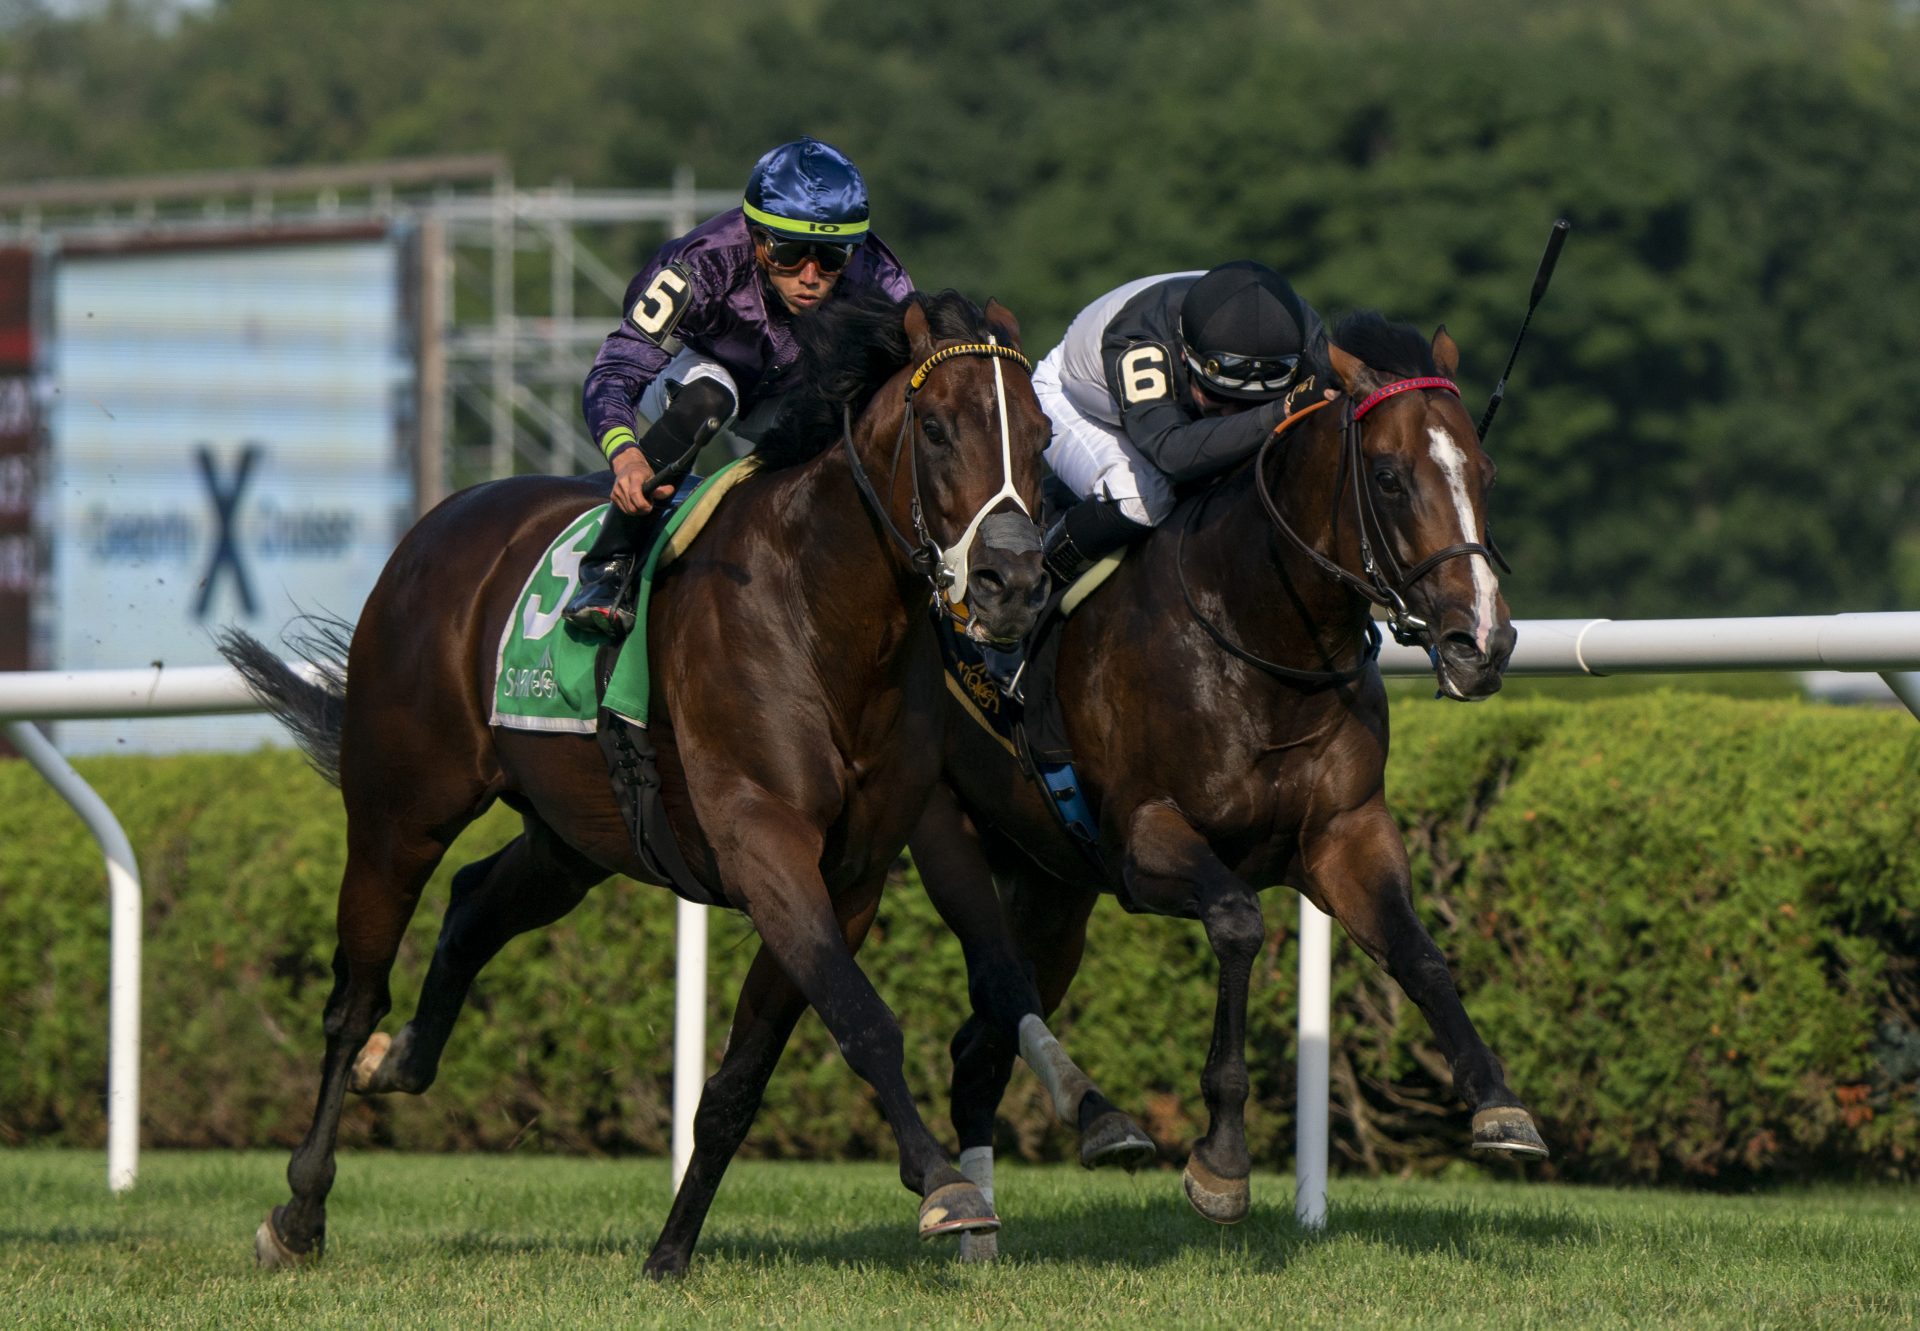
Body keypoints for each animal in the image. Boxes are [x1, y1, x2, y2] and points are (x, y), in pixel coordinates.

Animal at [234, 293, 1067, 1275]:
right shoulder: (763, 841)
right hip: (399, 811)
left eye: (1044, 436)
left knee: (474, 904)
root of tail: (440, 523)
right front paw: (945, 1185)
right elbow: (862, 1019)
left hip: (571, 837)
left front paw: (670, 1251)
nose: (1013, 582)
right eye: (936, 427)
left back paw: (397, 1061)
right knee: (353, 996)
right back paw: (300, 1209)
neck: (823, 614)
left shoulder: (850, 876)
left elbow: (745, 1074)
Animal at [906, 311, 1551, 1236]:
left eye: (1484, 472)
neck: (1257, 639)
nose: (1482, 643)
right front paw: (1222, 1158)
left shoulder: (1347, 832)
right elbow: (1241, 922)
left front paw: (1499, 1101)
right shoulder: (1146, 840)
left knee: (981, 1043)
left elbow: (1420, 953)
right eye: (1390, 478)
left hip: (1052, 890)